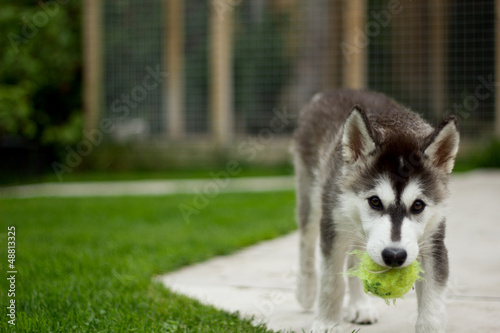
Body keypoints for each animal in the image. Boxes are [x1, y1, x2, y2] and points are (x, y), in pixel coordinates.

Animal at [292, 89, 460, 332]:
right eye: (375, 201)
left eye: (418, 205)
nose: (394, 256)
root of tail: (336, 91)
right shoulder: (333, 228)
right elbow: (331, 282)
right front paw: (326, 323)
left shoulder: (433, 241)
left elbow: (433, 305)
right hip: (312, 195)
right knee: (306, 240)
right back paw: (306, 290)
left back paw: (359, 306)